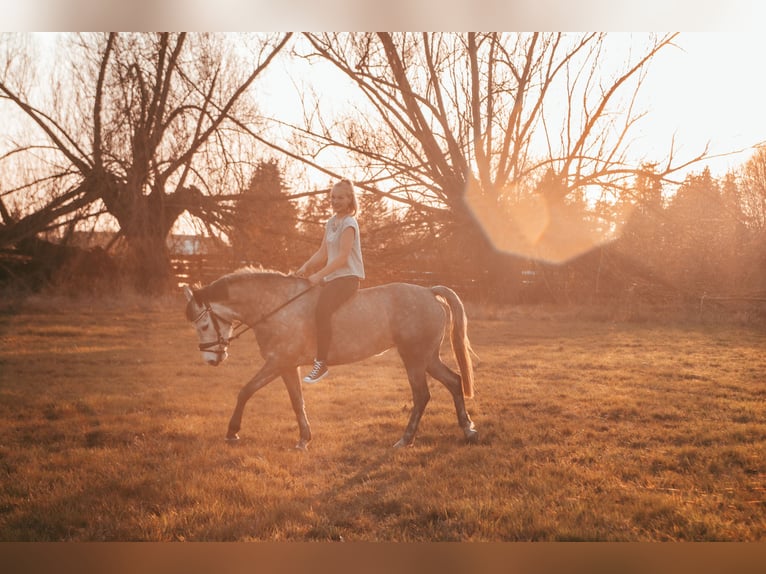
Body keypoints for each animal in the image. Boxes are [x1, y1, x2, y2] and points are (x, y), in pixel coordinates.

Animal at [182, 268, 476, 452]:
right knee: (454, 381)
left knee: (422, 395)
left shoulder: (277, 362)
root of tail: (428, 291)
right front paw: (304, 440)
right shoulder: (287, 366)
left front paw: (232, 432)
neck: (276, 306)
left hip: (414, 358)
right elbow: (297, 402)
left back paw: (405, 440)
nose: (211, 358)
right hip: (428, 357)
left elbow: (245, 391)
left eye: (204, 324)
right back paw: (468, 429)